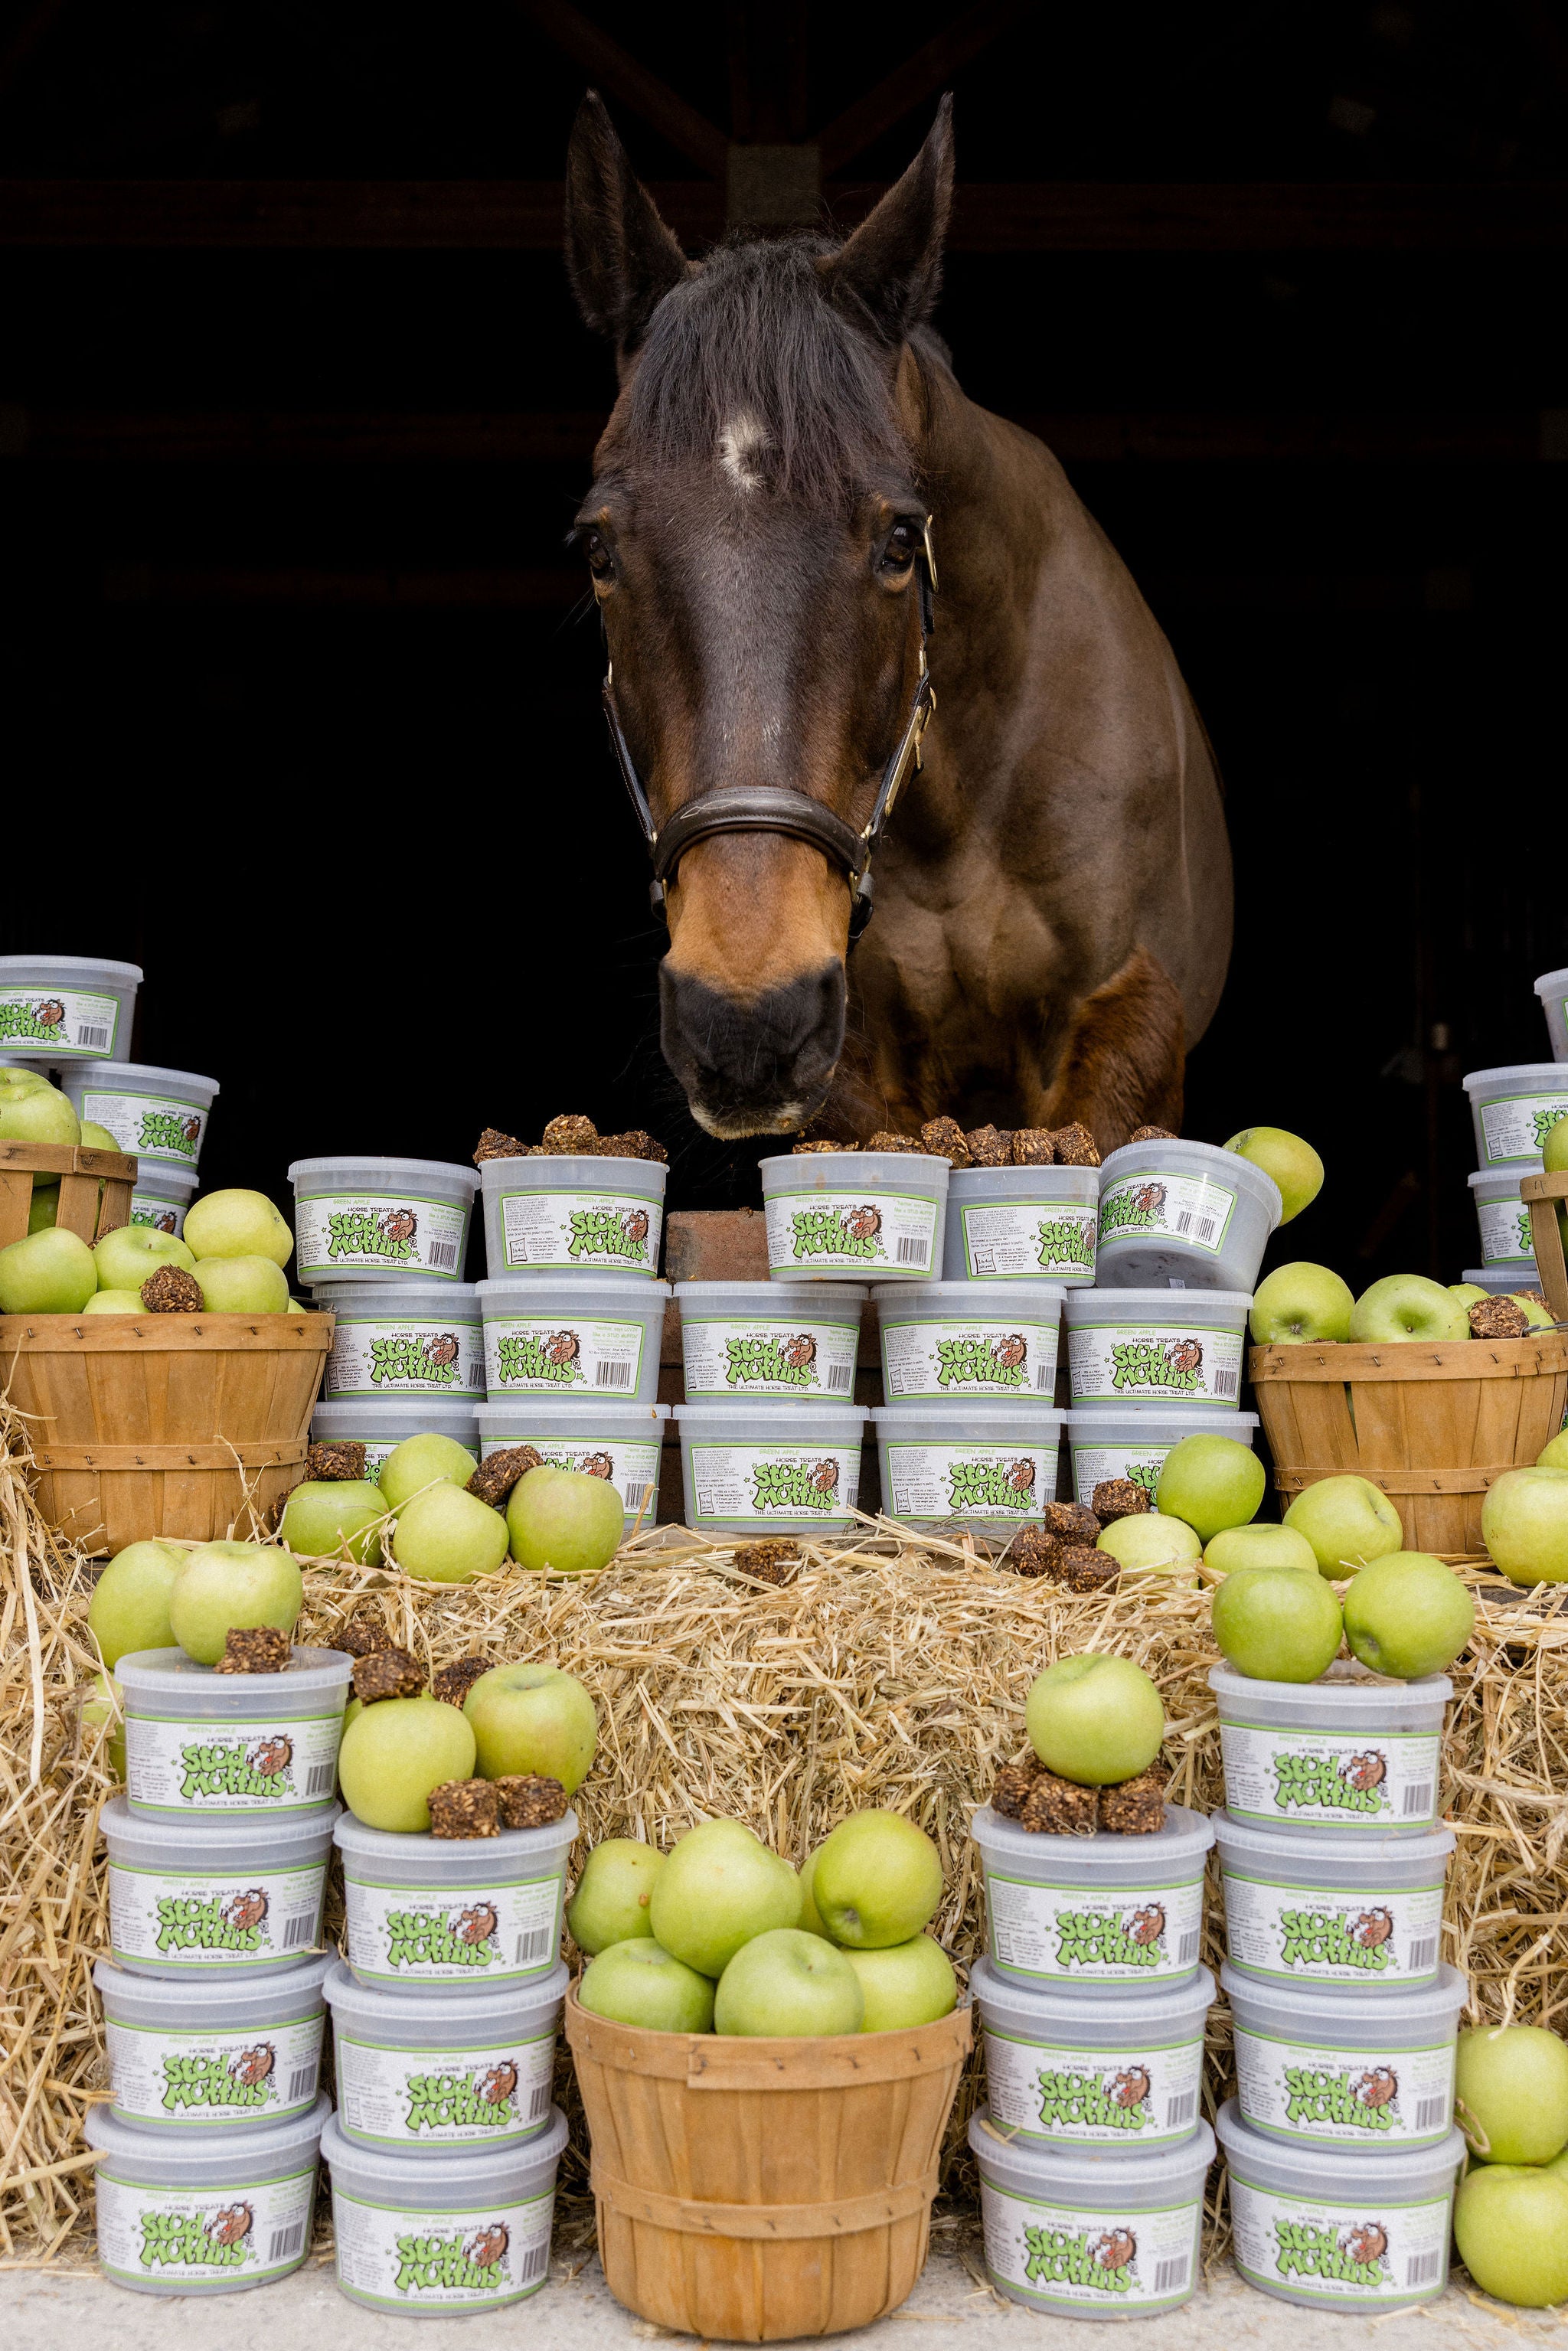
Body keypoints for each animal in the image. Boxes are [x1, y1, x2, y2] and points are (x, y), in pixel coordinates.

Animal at [565, 93, 1231, 1148]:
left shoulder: (1130, 1022)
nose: (744, 1016)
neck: (961, 807)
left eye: (898, 539)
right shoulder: (851, 1066)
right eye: (597, 550)